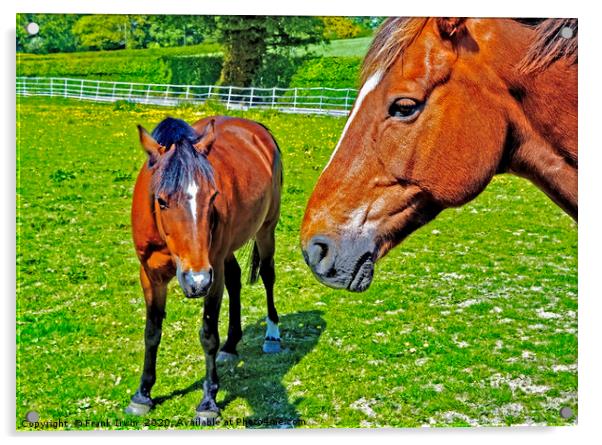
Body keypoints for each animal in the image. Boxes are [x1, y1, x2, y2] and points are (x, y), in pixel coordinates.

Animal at [125, 115, 284, 420]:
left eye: (212, 197)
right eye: (161, 200)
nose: (195, 281)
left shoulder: (212, 275)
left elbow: (208, 334)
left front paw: (208, 401)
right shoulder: (150, 275)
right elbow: (152, 332)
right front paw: (142, 394)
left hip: (265, 230)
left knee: (268, 275)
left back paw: (272, 335)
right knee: (235, 279)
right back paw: (231, 345)